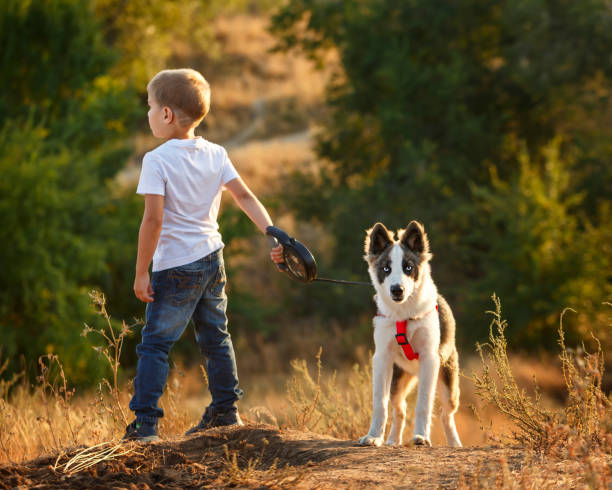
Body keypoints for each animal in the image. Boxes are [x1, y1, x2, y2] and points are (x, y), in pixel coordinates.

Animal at [356, 222, 462, 448]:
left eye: (408, 268)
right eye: (386, 269)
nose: (397, 290)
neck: (404, 313)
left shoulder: (430, 359)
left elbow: (423, 404)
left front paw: (421, 437)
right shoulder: (382, 359)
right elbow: (379, 404)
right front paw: (373, 436)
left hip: (448, 383)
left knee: (446, 414)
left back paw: (454, 444)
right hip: (397, 382)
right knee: (400, 410)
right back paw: (392, 440)